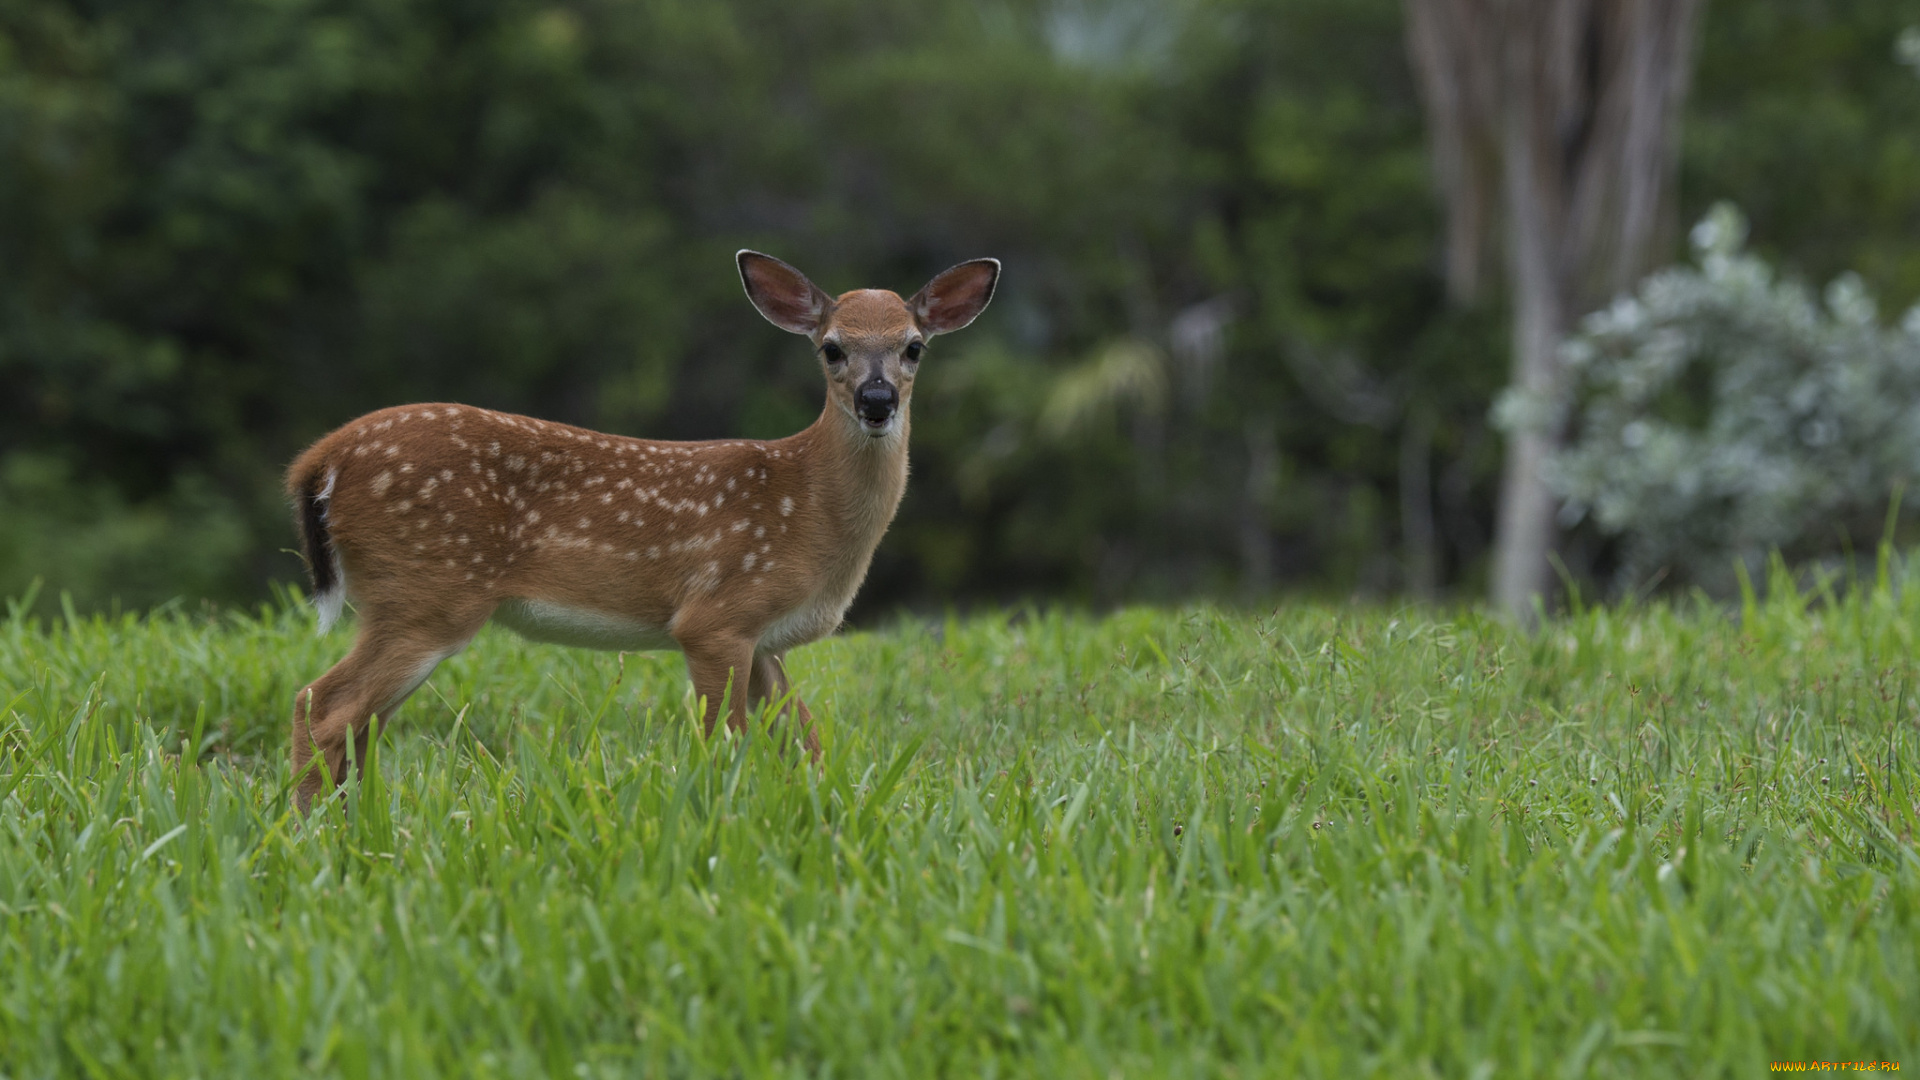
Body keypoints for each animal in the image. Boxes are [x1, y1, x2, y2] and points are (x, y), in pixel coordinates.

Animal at [288, 249, 1006, 807]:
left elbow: (806, 741)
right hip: (428, 595)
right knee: (324, 705)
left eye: (913, 347)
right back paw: (312, 829)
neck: (808, 506)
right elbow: (726, 740)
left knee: (355, 722)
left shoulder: (765, 640)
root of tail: (321, 459)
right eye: (833, 349)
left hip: (404, 602)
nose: (876, 402)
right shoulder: (716, 617)